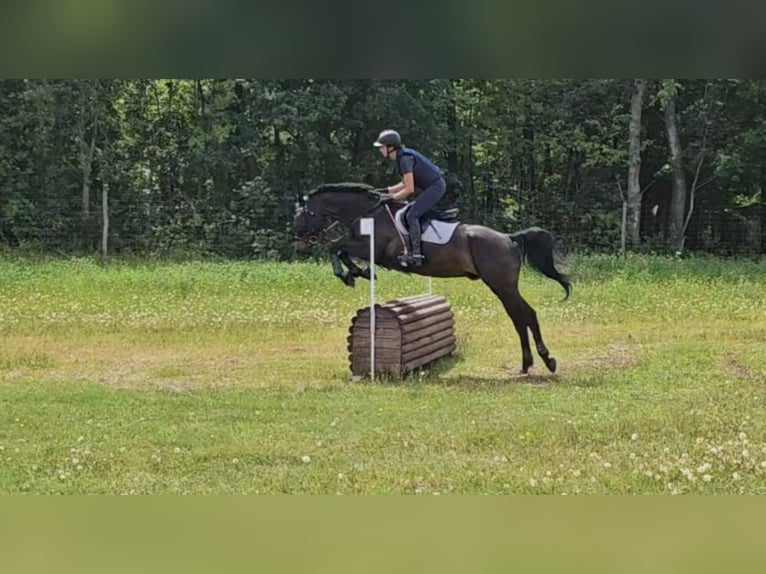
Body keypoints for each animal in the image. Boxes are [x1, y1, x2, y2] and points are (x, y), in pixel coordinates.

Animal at [294, 182, 571, 375]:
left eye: (303, 216)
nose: (301, 242)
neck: (367, 212)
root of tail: (509, 238)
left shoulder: (373, 248)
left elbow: (336, 247)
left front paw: (350, 274)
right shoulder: (364, 248)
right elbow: (340, 250)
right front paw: (358, 273)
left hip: (503, 285)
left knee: (526, 315)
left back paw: (547, 360)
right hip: (502, 287)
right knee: (519, 318)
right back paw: (528, 364)